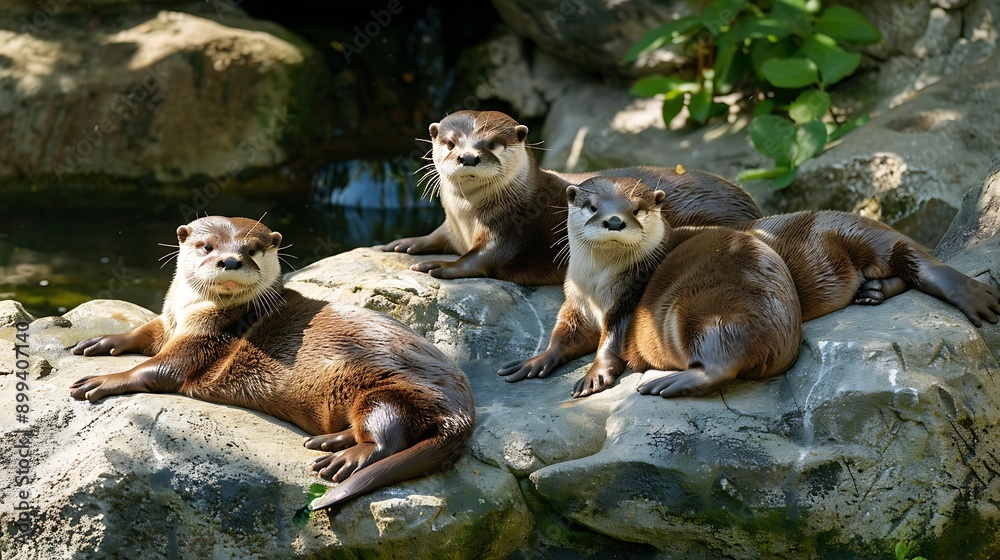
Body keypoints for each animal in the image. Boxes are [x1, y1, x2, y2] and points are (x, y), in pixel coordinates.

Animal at [69, 216, 475, 512]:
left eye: (251, 249)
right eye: (206, 246)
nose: (230, 260)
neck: (191, 312)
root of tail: (461, 412)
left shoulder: (204, 340)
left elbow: (158, 369)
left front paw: (103, 381)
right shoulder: (170, 321)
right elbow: (146, 331)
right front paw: (103, 341)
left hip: (388, 389)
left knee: (387, 437)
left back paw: (344, 458)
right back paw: (328, 441)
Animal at [378, 110, 763, 285]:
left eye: (493, 144)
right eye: (450, 142)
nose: (469, 157)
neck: (468, 216)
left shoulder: (512, 230)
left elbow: (481, 259)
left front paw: (439, 266)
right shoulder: (451, 225)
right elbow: (436, 234)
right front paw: (404, 243)